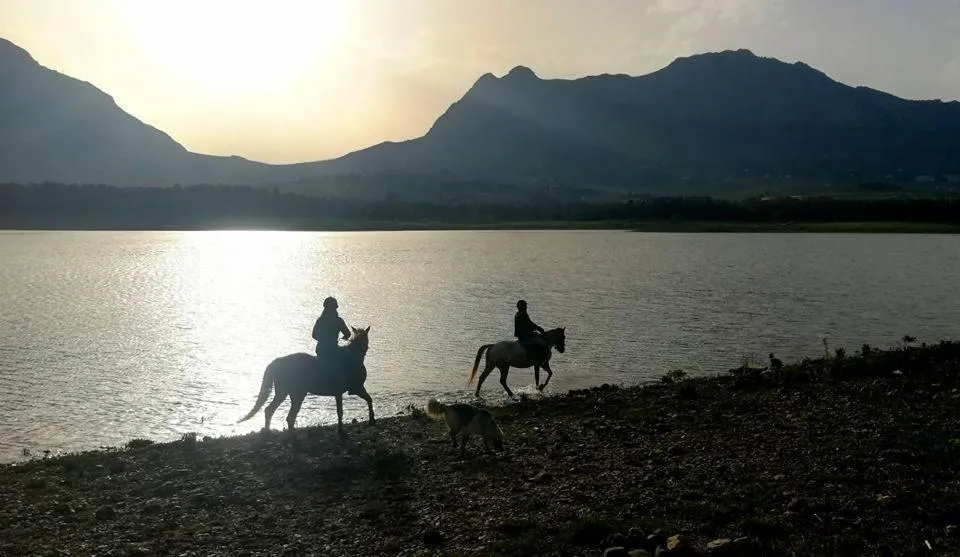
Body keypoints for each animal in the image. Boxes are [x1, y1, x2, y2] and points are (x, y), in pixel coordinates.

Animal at [238, 326, 374, 436]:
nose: (367, 348)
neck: (351, 359)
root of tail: (277, 362)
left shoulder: (348, 391)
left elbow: (367, 400)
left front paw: (371, 419)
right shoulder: (352, 389)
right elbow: (343, 410)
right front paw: (344, 430)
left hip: (286, 393)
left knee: (274, 411)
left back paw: (270, 432)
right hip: (294, 394)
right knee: (285, 415)